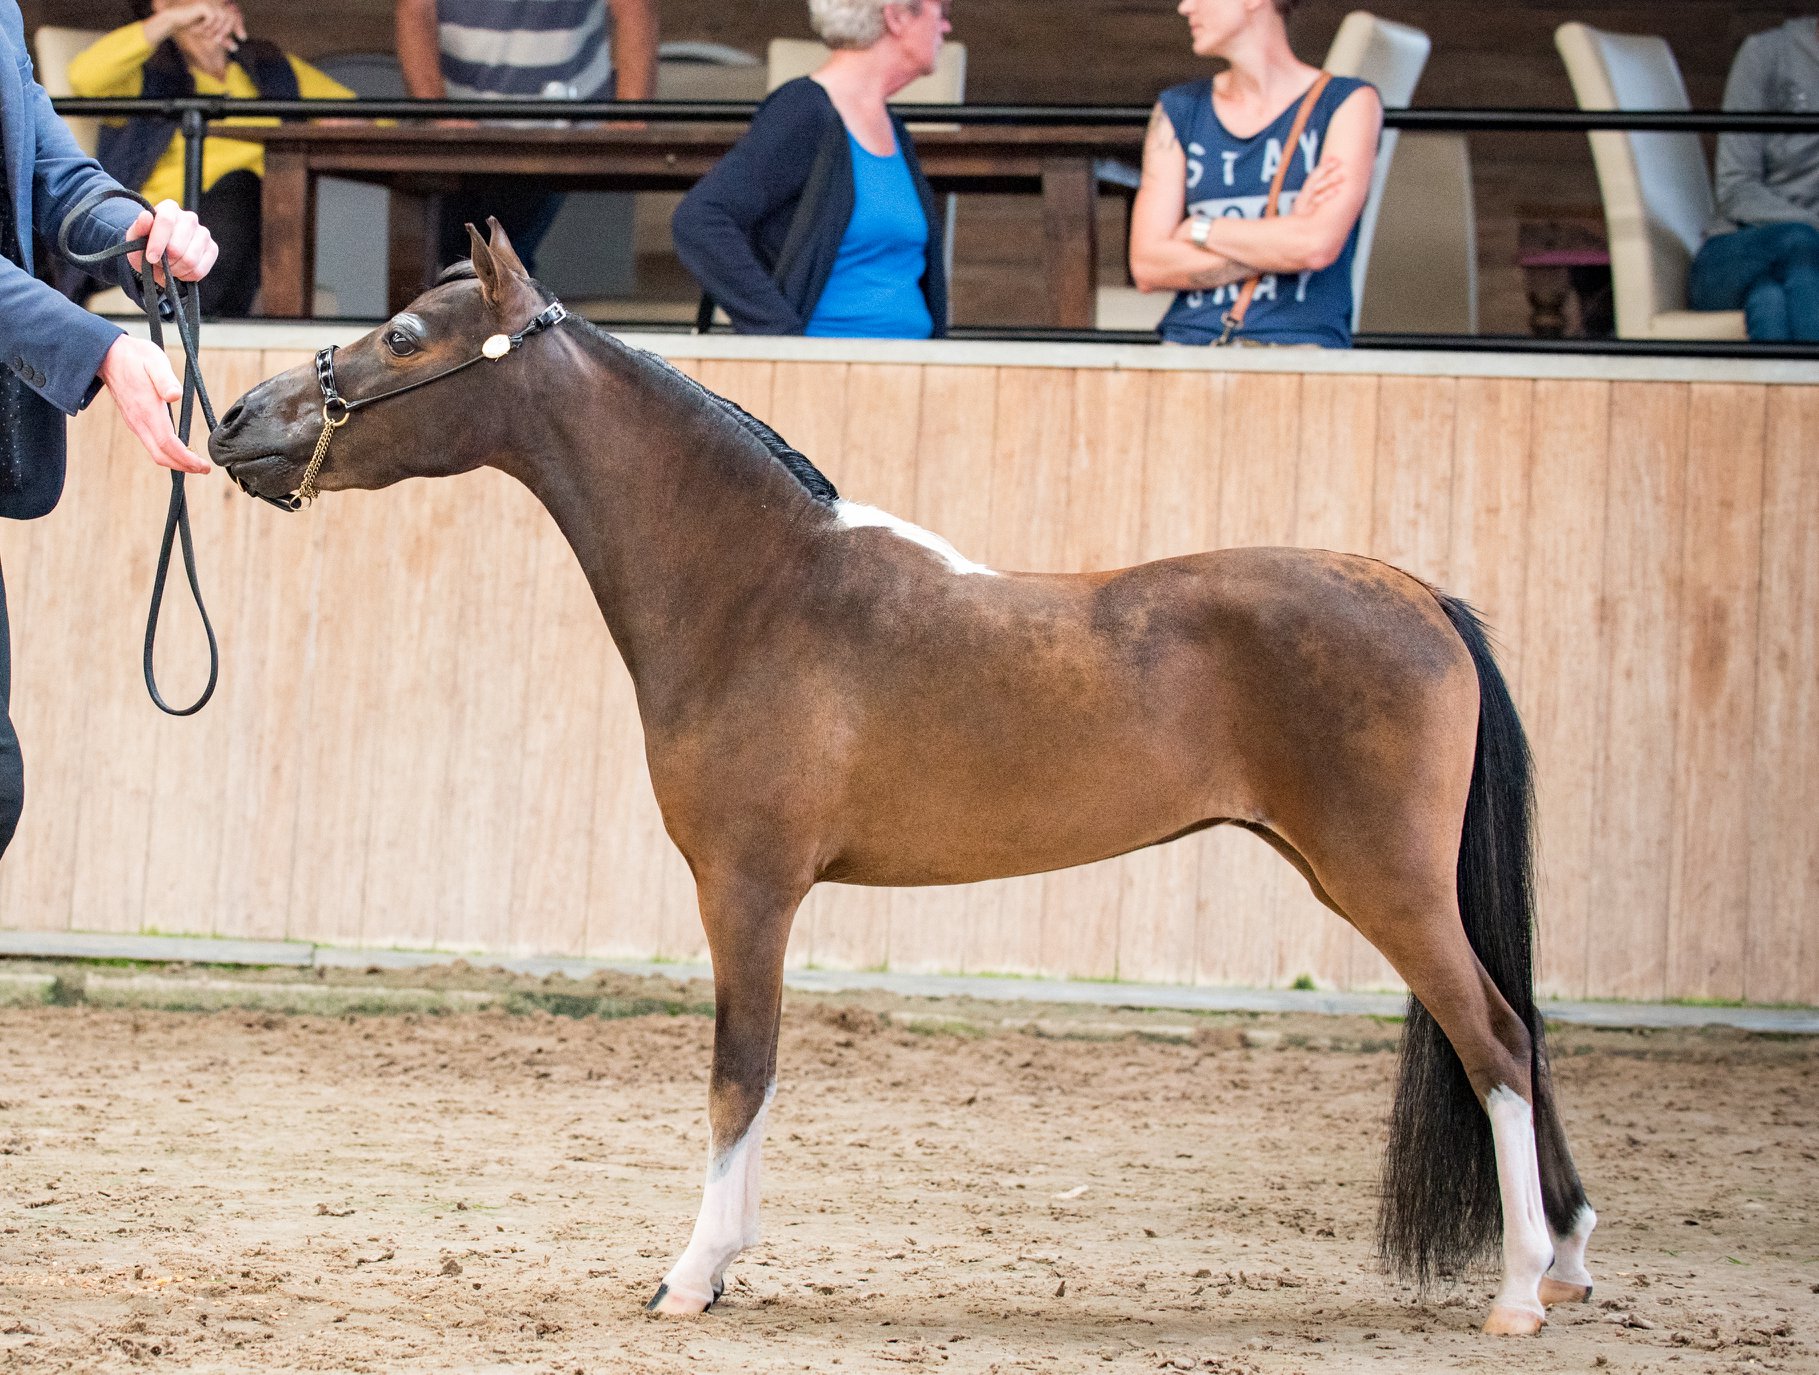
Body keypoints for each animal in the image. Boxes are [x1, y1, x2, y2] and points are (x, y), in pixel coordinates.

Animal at [209, 219, 1598, 1336]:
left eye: (400, 335)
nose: (235, 421)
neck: (762, 590)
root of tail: (1416, 593)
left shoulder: (748, 890)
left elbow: (739, 1073)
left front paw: (692, 1276)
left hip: (1382, 883)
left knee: (1498, 1039)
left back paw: (1520, 1292)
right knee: (1516, 1031)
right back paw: (1569, 1258)